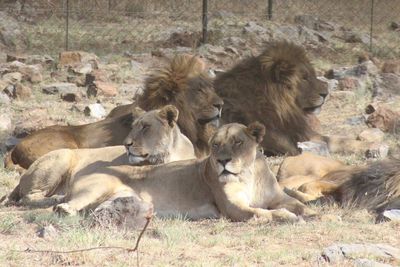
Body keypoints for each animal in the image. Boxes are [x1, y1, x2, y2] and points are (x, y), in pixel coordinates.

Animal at [5, 105, 195, 208]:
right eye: (133, 126)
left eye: (145, 126)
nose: (126, 144)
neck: (171, 153)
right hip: (62, 155)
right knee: (27, 197)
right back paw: (57, 198)